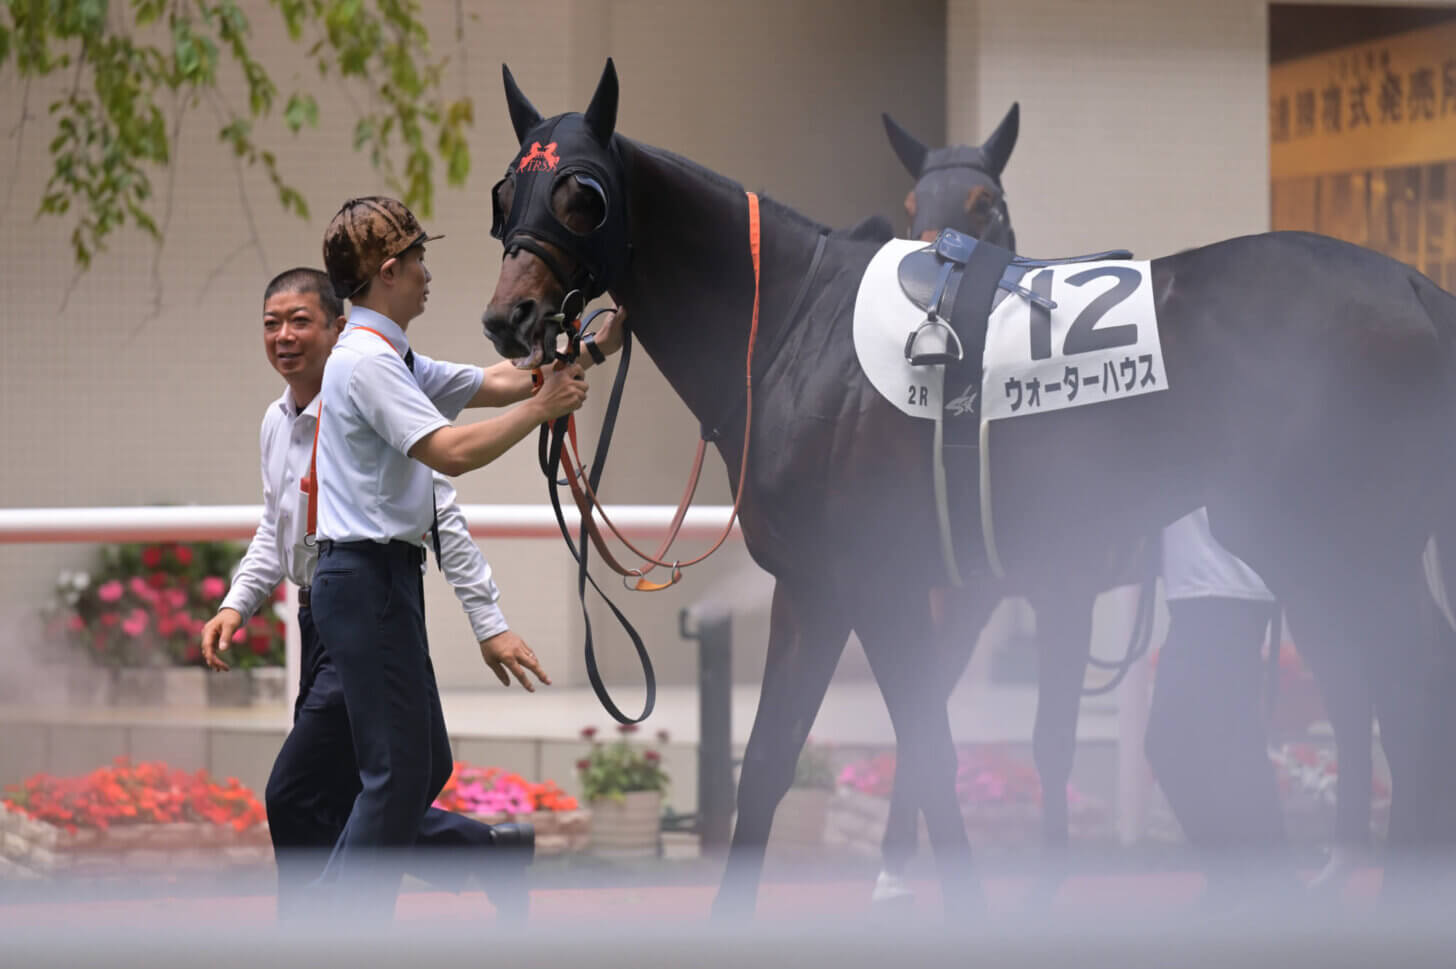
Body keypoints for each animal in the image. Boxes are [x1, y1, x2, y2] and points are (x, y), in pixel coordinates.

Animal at [483, 62, 1456, 913]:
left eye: (582, 191)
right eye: (504, 193)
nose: (508, 316)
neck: (794, 326)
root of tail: (1419, 285)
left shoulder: (897, 582)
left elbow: (938, 750)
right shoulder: (823, 586)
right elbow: (769, 765)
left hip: (1338, 547)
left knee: (1407, 699)